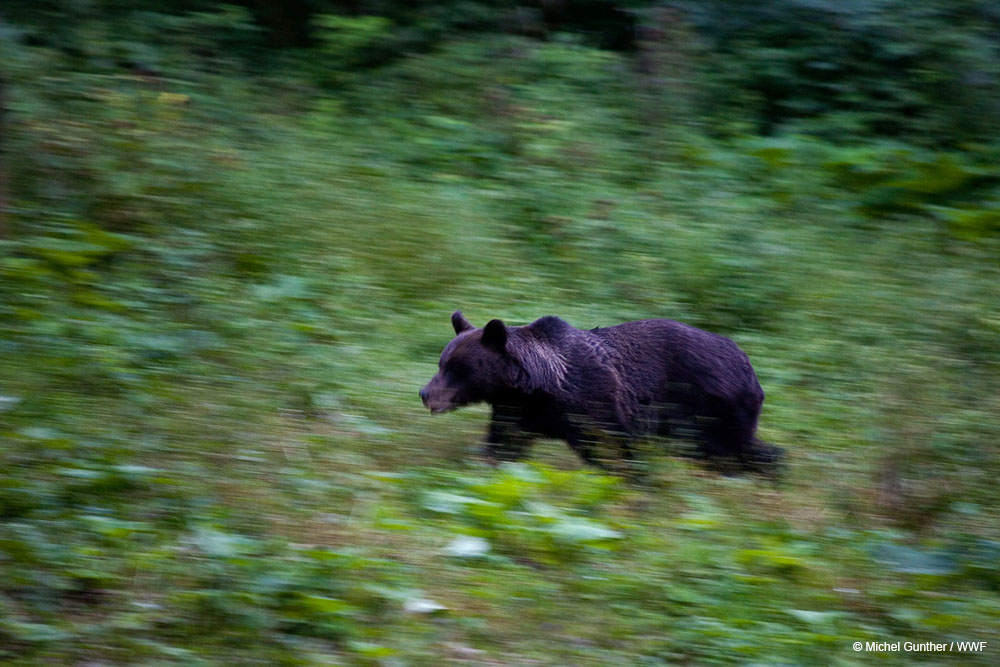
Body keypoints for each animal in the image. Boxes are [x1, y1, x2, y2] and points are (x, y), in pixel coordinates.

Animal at [418, 312, 784, 472]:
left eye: (458, 369)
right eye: (442, 362)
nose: (425, 392)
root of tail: (747, 361)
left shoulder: (596, 403)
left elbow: (613, 448)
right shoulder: (517, 411)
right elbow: (504, 446)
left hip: (709, 407)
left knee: (731, 449)